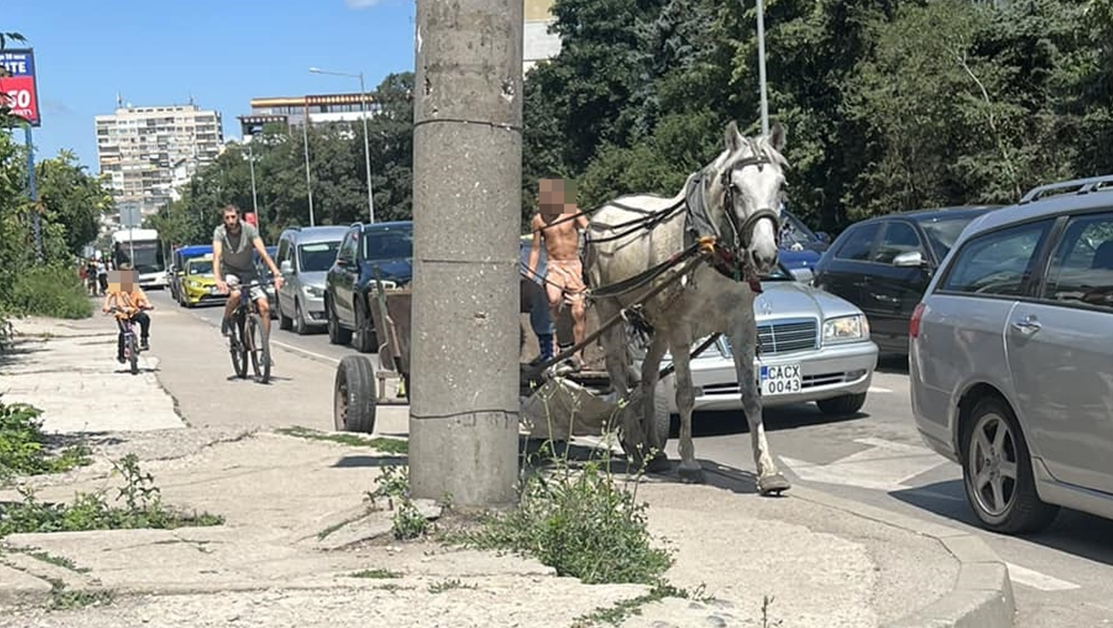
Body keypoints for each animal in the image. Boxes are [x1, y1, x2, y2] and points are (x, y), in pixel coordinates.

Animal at [583, 119, 792, 496]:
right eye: (736, 187)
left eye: (781, 185)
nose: (765, 255)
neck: (710, 248)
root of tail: (602, 213)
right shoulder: (682, 328)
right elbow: (684, 395)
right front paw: (691, 463)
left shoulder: (742, 324)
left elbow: (751, 397)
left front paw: (768, 472)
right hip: (609, 308)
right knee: (620, 374)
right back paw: (635, 442)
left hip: (658, 323)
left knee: (648, 375)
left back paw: (653, 450)